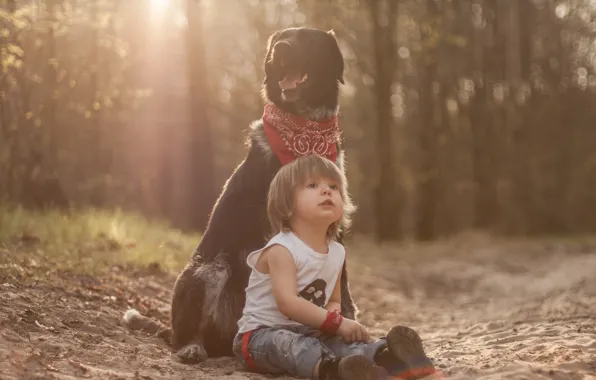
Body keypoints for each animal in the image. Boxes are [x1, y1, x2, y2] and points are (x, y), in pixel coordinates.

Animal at [121, 26, 354, 362]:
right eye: (280, 39)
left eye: (309, 39)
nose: (282, 49)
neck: (305, 131)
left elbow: (343, 283)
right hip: (210, 270)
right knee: (188, 334)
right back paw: (193, 346)